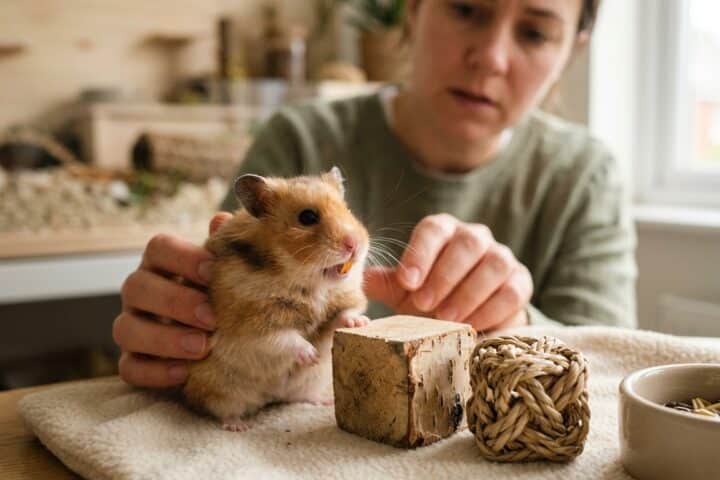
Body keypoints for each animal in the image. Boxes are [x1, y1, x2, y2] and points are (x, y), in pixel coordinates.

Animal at [183, 167, 369, 432]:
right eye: (307, 217)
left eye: (347, 209)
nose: (355, 245)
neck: (311, 286)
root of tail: (271, 396)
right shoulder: (251, 325)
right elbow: (283, 338)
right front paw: (311, 355)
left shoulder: (339, 304)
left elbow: (341, 316)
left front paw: (360, 322)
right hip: (219, 389)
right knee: (220, 410)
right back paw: (238, 426)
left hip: (311, 382)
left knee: (300, 396)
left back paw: (324, 400)